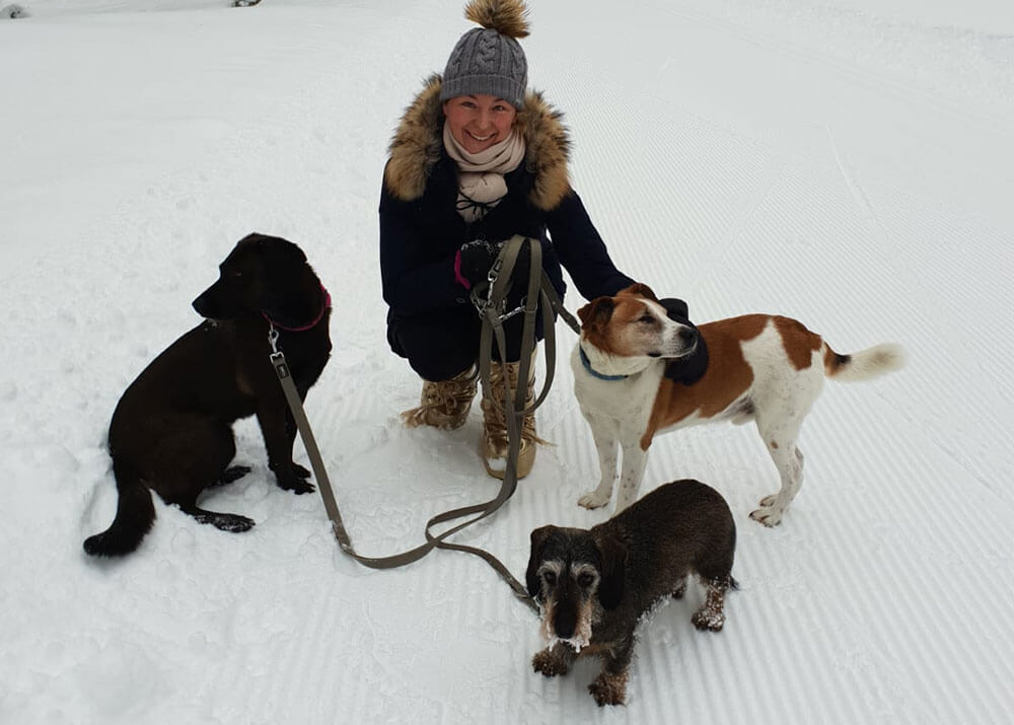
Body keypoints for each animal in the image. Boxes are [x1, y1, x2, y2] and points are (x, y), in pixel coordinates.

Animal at [83, 233, 332, 556]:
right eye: (222, 270)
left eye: (237, 274)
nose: (195, 304)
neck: (289, 325)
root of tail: (116, 449)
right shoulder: (270, 402)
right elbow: (278, 448)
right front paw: (289, 484)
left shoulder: (295, 392)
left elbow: (288, 439)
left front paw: (293, 471)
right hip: (214, 435)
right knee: (179, 502)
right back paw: (231, 520)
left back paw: (228, 476)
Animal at [527, 479, 736, 706]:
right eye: (549, 575)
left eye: (586, 578)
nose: (563, 629)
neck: (597, 609)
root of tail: (708, 489)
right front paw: (553, 659)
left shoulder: (623, 637)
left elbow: (616, 663)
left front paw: (608, 688)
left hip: (713, 564)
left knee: (717, 590)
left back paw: (710, 617)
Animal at [573, 283, 904, 525]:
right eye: (645, 319)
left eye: (667, 314)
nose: (691, 334)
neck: (612, 377)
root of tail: (811, 338)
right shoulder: (601, 431)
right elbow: (607, 469)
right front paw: (600, 497)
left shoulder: (637, 444)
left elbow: (627, 490)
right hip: (783, 426)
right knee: (799, 463)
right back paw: (778, 501)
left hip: (774, 427)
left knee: (793, 470)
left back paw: (774, 515)